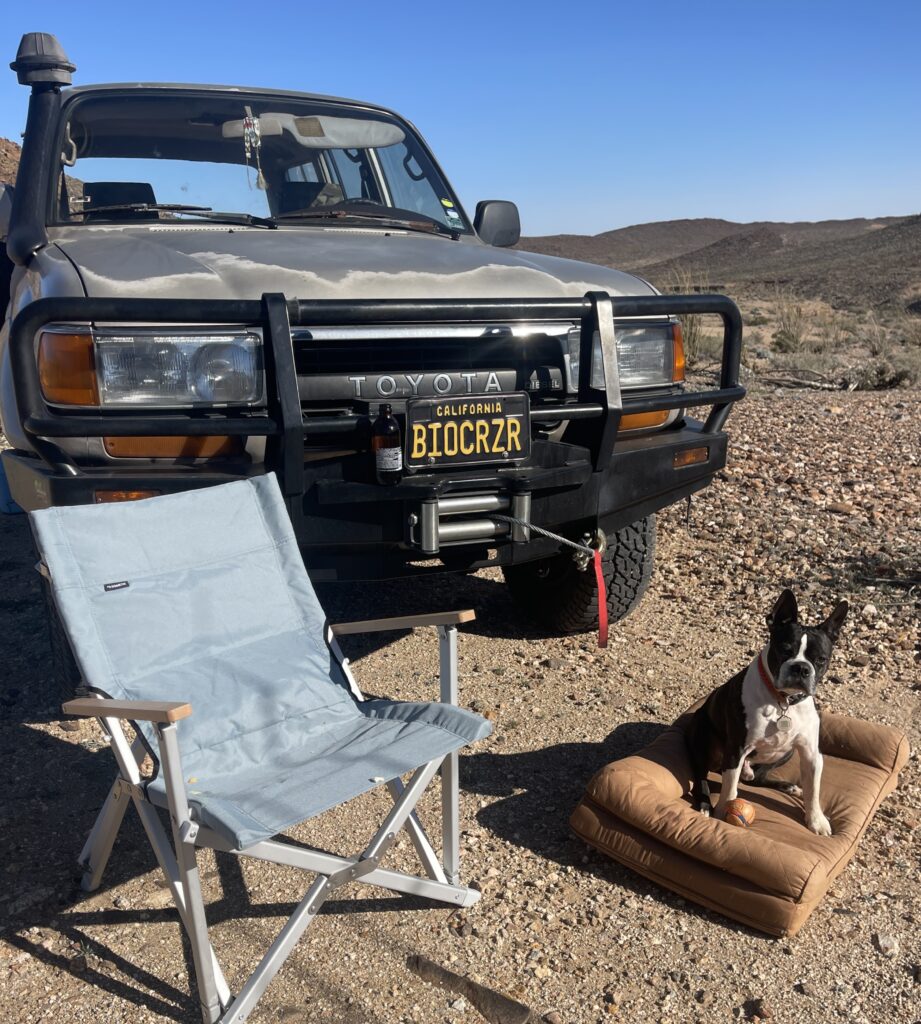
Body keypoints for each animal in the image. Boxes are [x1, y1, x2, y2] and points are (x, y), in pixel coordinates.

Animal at [684, 593, 848, 831]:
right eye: (784, 649)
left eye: (821, 659)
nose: (801, 668)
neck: (784, 701)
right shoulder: (736, 749)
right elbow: (729, 789)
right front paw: (723, 813)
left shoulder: (811, 754)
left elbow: (813, 791)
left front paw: (817, 821)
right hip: (704, 739)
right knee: (701, 772)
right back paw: (705, 803)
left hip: (786, 752)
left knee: (756, 778)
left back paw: (787, 786)